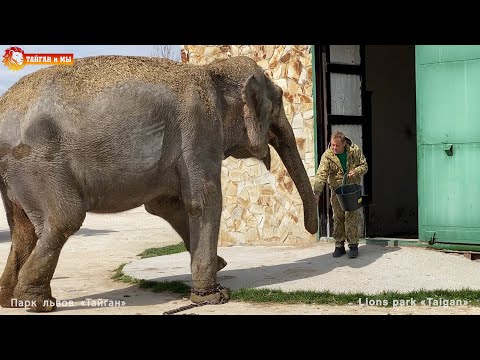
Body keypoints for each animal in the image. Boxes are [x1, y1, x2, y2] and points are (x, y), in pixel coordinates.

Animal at [0, 54, 318, 310]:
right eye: (278, 102)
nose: (311, 229)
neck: (211, 72)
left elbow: (164, 205)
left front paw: (220, 265)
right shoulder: (199, 129)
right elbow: (204, 200)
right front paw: (213, 296)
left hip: (16, 176)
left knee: (23, 230)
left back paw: (11, 301)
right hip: (40, 164)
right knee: (64, 219)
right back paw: (38, 303)